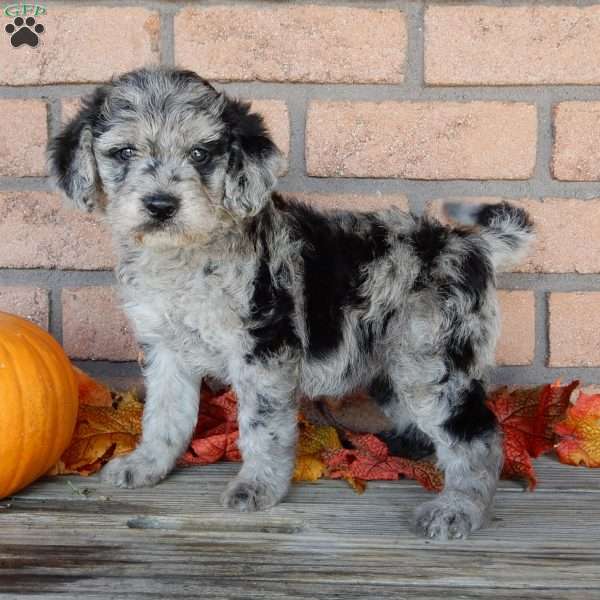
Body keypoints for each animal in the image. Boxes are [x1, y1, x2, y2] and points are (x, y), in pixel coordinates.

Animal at [48, 67, 536, 540]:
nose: (160, 205)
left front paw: (258, 486)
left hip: (432, 360)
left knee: (478, 435)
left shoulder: (263, 347)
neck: (184, 254)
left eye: (201, 154)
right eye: (124, 152)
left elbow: (262, 427)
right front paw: (147, 464)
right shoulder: (166, 348)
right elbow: (165, 415)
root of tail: (471, 245)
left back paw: (458, 509)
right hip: (396, 364)